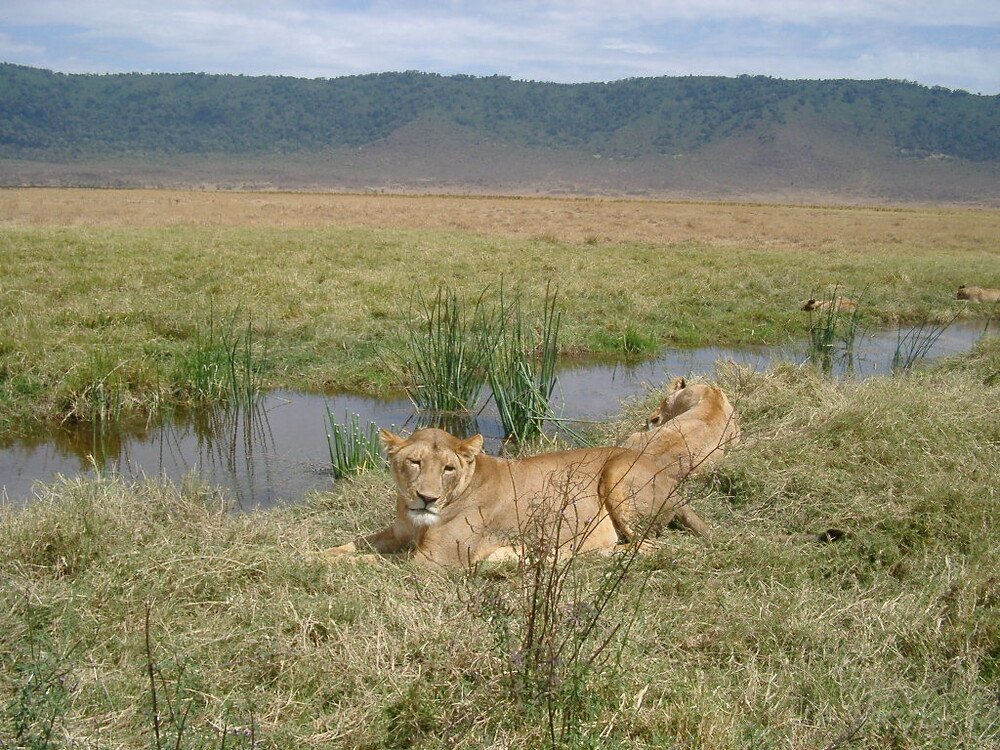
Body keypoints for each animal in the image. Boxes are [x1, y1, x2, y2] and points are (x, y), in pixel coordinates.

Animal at [324, 426, 708, 568]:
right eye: (414, 462)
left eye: (447, 468)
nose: (426, 498)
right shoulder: (396, 533)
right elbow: (353, 545)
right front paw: (315, 554)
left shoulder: (435, 561)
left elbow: (374, 562)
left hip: (617, 473)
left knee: (645, 547)